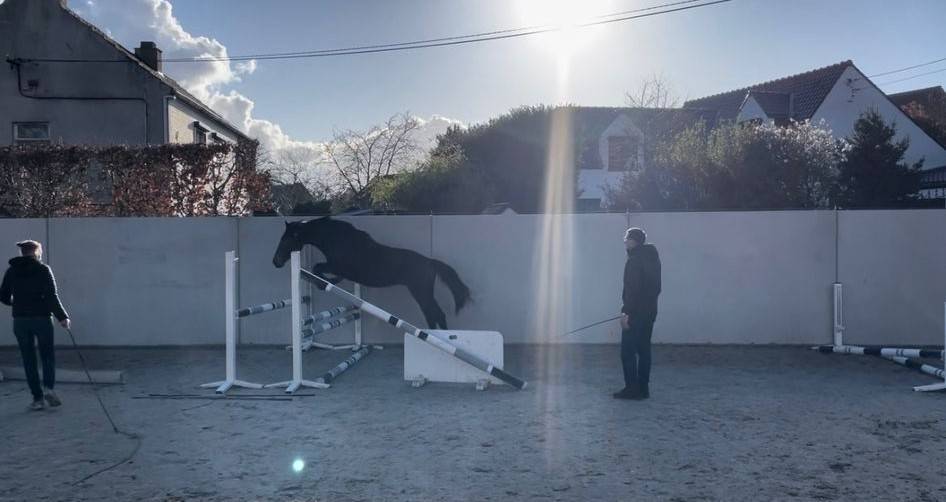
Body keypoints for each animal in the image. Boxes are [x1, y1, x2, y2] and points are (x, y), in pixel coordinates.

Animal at [272, 217, 471, 330]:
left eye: (286, 239)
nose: (276, 262)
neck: (337, 239)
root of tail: (430, 262)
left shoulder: (338, 266)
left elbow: (317, 269)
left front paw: (324, 283)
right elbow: (321, 271)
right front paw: (329, 282)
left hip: (421, 292)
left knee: (436, 314)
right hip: (422, 293)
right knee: (433, 315)